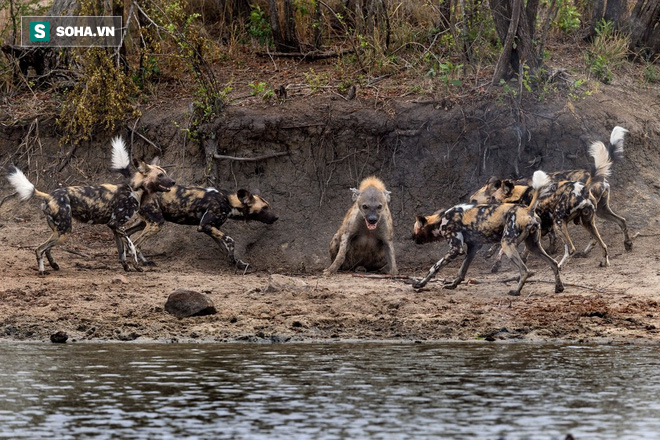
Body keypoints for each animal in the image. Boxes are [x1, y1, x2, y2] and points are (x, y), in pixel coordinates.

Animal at [5, 138, 175, 274]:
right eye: (160, 175)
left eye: (165, 173)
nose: (173, 182)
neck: (135, 190)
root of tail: (48, 195)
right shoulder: (116, 224)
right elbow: (132, 246)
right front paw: (137, 267)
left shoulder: (114, 227)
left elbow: (121, 251)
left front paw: (126, 267)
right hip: (65, 231)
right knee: (40, 248)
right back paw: (42, 271)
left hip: (59, 230)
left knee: (46, 248)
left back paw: (53, 265)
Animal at [126, 185, 278, 270]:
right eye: (264, 208)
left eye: (268, 206)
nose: (276, 217)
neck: (228, 201)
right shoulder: (204, 226)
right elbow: (231, 240)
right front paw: (233, 262)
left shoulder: (211, 229)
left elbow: (225, 247)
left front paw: (237, 263)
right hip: (157, 223)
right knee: (137, 243)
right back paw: (143, 263)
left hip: (145, 223)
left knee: (128, 236)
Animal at [412, 171, 564, 296]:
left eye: (415, 230)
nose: (412, 238)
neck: (441, 220)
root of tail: (528, 210)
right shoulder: (473, 248)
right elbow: (461, 272)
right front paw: (453, 285)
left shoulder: (456, 249)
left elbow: (434, 268)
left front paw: (420, 283)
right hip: (533, 246)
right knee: (554, 263)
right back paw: (559, 287)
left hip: (507, 244)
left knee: (524, 270)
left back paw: (516, 291)